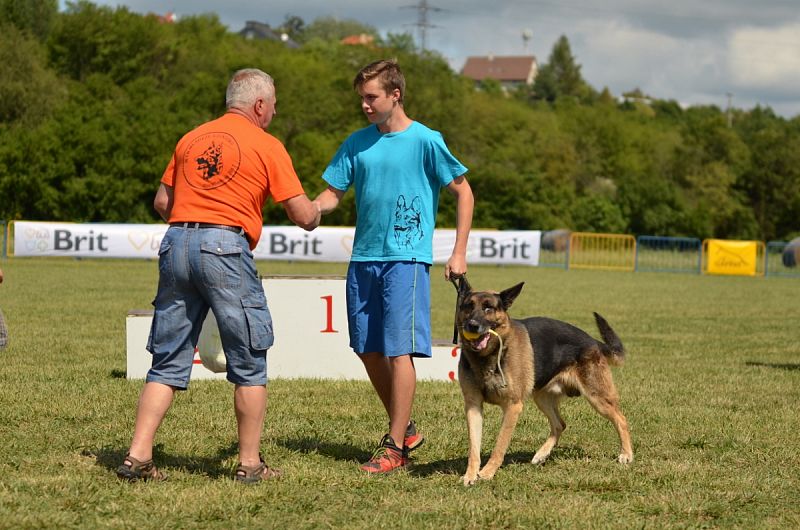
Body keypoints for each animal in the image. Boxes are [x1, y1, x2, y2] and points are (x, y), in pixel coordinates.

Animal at [454, 278, 636, 484]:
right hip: (542, 398)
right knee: (560, 424)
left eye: (488, 308)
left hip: (598, 398)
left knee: (621, 419)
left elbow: (500, 445)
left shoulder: (513, 407)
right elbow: (474, 447)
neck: (488, 356)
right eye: (469, 306)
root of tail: (593, 341)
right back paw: (541, 454)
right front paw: (470, 475)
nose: (472, 325)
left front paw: (487, 472)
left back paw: (626, 454)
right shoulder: (473, 406)